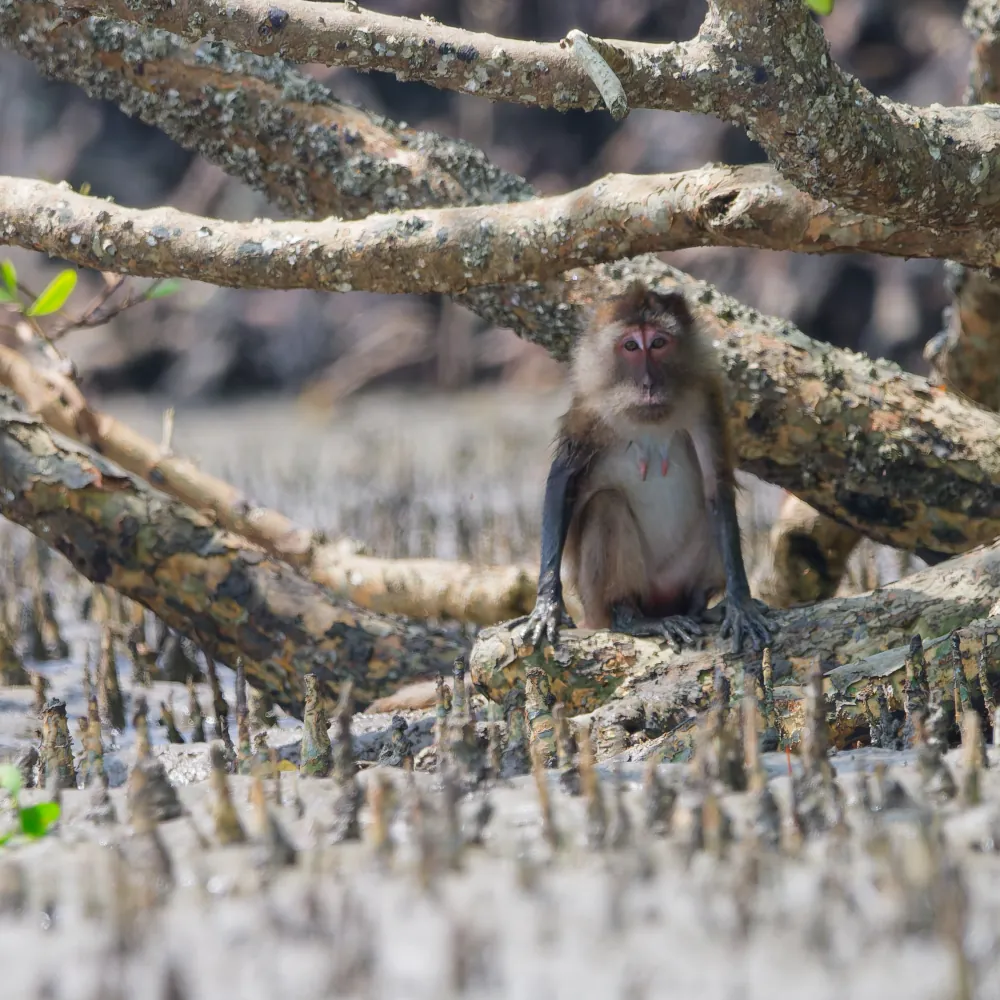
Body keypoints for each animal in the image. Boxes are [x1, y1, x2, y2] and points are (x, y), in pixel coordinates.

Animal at [518, 280, 771, 654]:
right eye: (631, 346)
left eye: (658, 344)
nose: (649, 384)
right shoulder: (590, 407)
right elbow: (563, 481)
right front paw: (548, 603)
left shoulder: (704, 399)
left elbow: (717, 488)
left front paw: (741, 603)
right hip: (597, 600)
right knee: (607, 505)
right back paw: (633, 617)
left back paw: (701, 608)